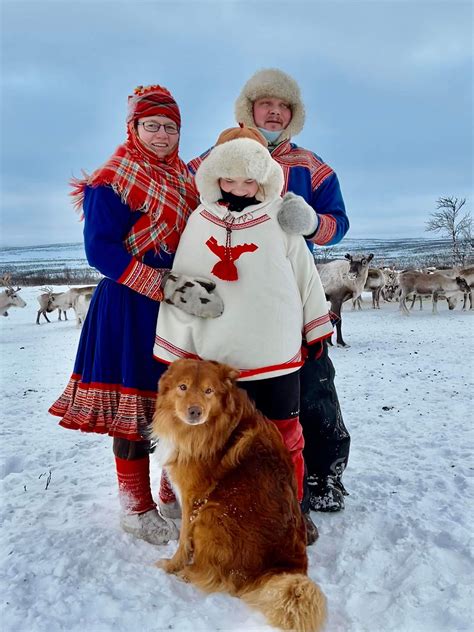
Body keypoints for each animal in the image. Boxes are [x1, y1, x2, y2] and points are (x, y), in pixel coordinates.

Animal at [152, 360, 326, 632]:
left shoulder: (193, 499)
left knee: (214, 576)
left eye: (209, 391)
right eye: (183, 387)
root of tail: (283, 568)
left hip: (212, 513)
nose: (195, 412)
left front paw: (172, 565)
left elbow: (183, 542)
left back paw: (185, 573)